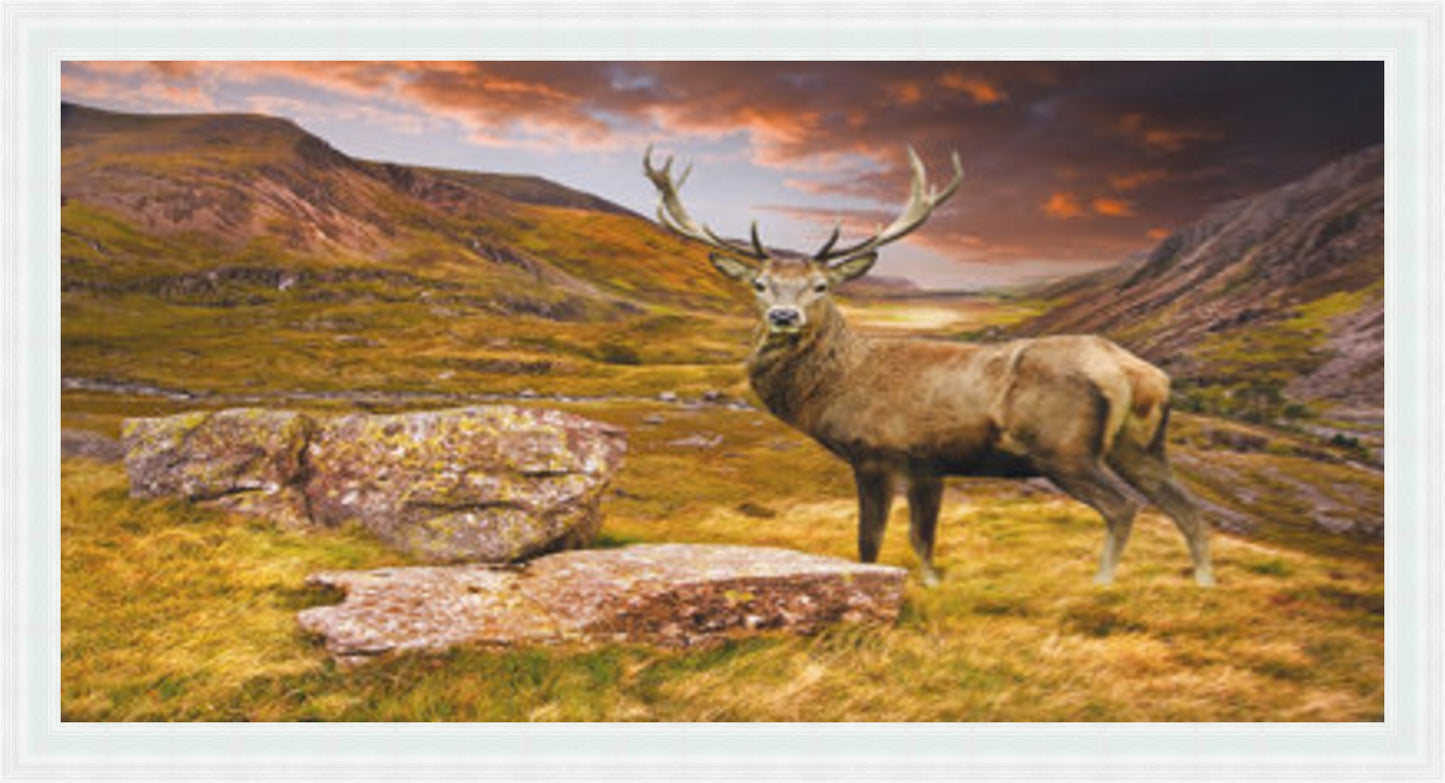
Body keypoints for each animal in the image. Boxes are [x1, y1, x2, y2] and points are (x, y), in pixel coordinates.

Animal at [642, 145, 1215, 588]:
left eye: (821, 285)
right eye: (759, 285)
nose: (784, 316)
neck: (835, 387)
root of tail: (1137, 373)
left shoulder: (876, 452)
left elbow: (869, 542)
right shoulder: (929, 465)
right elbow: (924, 542)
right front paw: (931, 586)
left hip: (1064, 447)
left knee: (1123, 508)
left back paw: (1102, 583)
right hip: (1140, 445)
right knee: (1187, 508)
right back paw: (1203, 585)